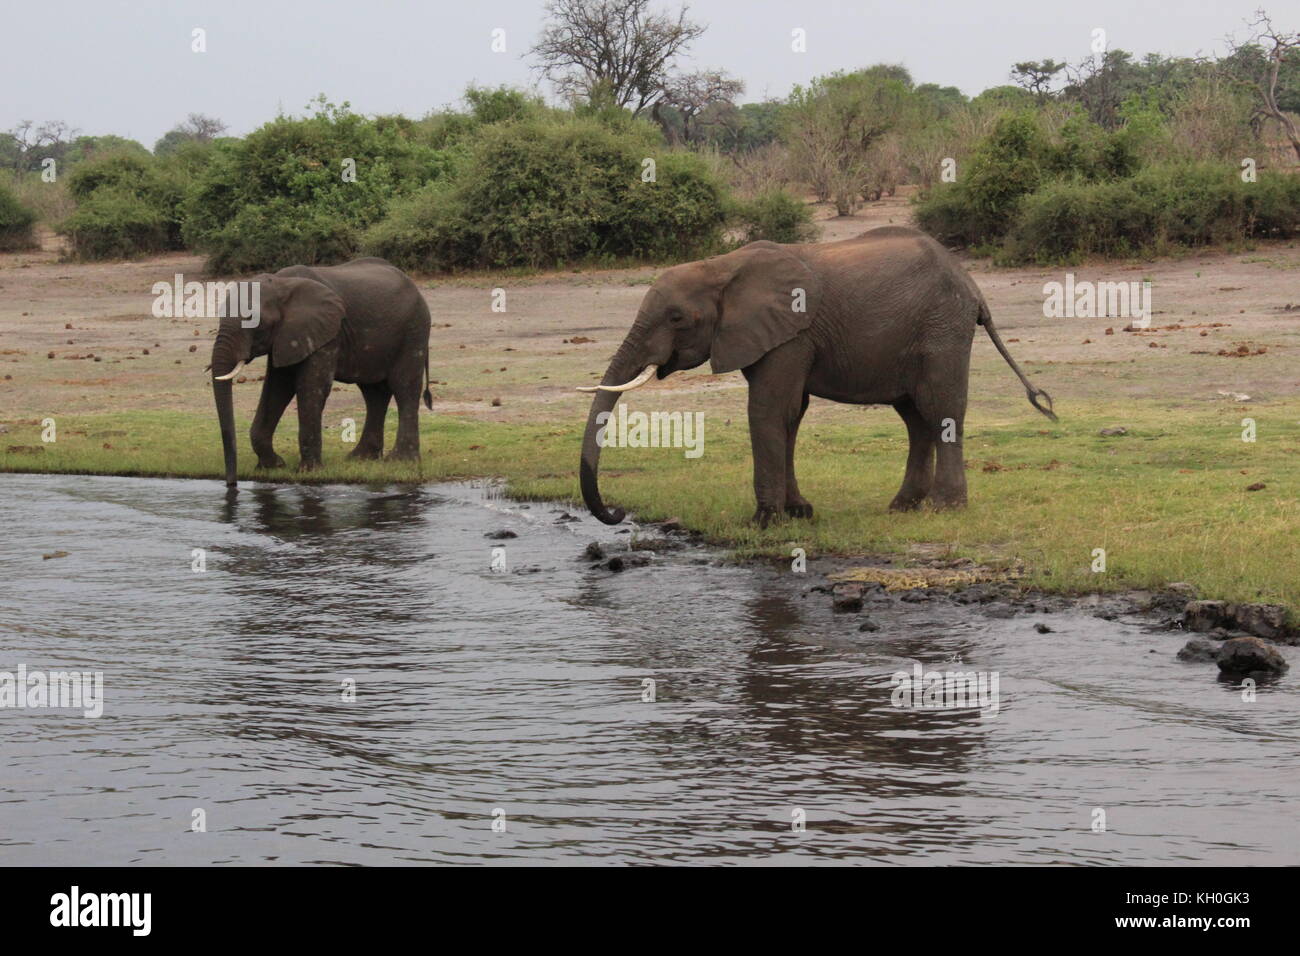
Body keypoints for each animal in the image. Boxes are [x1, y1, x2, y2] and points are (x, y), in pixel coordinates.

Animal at [210, 256, 434, 486]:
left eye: (255, 321)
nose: (231, 484)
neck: (282, 284)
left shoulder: (327, 333)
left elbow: (311, 387)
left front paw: (308, 472)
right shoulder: (288, 336)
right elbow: (278, 388)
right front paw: (273, 466)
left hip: (414, 329)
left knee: (404, 387)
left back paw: (400, 461)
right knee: (374, 393)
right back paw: (360, 459)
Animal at [579, 227, 1055, 528]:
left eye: (676, 317)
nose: (616, 513)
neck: (721, 267)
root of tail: (973, 285)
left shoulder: (792, 333)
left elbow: (769, 409)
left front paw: (763, 522)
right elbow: (791, 413)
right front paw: (798, 513)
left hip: (943, 330)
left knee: (940, 409)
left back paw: (944, 510)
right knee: (915, 417)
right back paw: (902, 508)